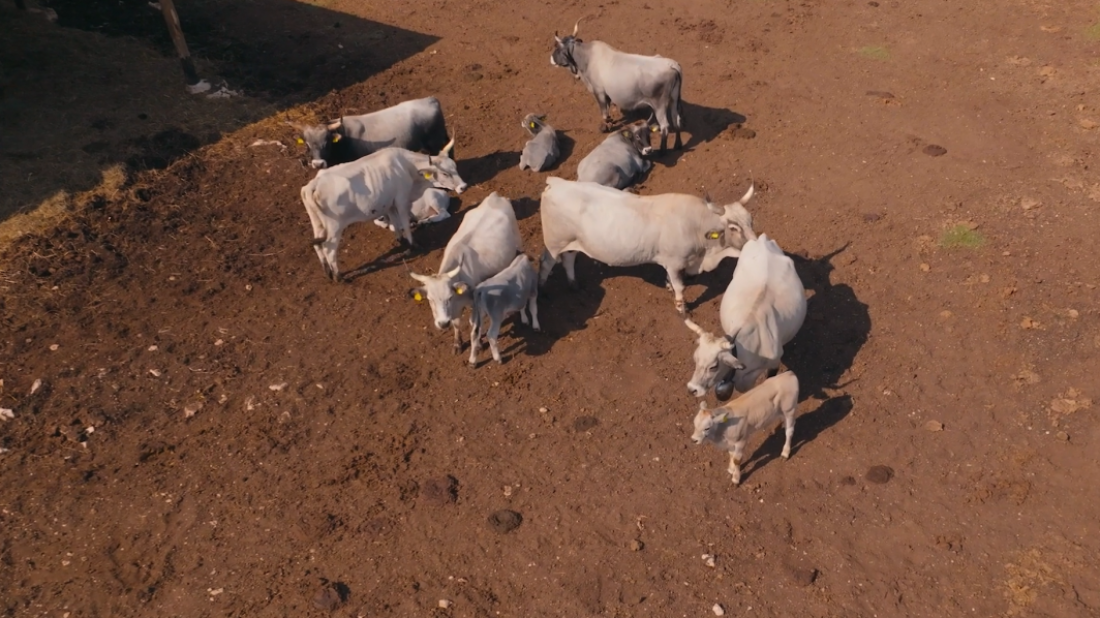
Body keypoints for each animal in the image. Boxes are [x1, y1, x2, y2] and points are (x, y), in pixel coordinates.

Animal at [290, 96, 453, 168]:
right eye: (308, 145)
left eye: (327, 143)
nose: (318, 164)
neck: (345, 137)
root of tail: (430, 99)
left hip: (435, 141)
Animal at [299, 139, 466, 279]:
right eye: (445, 173)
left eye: (455, 167)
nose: (463, 186)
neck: (406, 166)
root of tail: (314, 184)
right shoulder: (401, 199)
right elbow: (405, 223)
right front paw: (414, 244)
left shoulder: (390, 203)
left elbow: (395, 221)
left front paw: (400, 239)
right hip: (334, 227)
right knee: (329, 249)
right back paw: (338, 276)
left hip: (318, 224)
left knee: (318, 246)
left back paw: (327, 271)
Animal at [539, 177, 756, 312]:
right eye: (733, 227)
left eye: (750, 220)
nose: (755, 243)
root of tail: (555, 183)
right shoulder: (675, 262)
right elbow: (680, 287)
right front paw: (681, 307)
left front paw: (669, 286)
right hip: (553, 243)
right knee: (546, 264)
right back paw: (543, 291)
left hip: (572, 241)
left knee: (569, 258)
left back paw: (573, 284)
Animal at [554, 22, 682, 151]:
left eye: (558, 47)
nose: (551, 58)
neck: (587, 58)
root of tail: (671, 65)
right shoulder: (607, 94)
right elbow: (608, 109)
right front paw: (610, 123)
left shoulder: (599, 91)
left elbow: (604, 112)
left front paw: (604, 127)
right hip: (674, 100)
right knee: (676, 120)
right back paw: (678, 145)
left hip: (659, 105)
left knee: (665, 126)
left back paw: (662, 150)